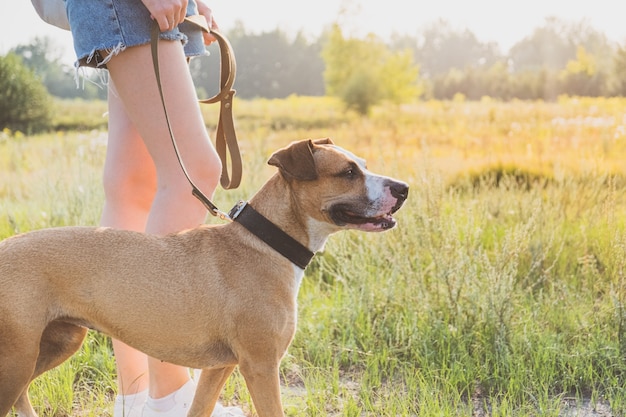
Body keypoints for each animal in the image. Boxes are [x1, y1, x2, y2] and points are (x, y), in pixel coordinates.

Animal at [0, 139, 408, 416]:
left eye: (362, 165)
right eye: (348, 172)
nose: (404, 188)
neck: (267, 242)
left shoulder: (218, 368)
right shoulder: (261, 366)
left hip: (56, 343)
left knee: (21, 395)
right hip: (18, 358)